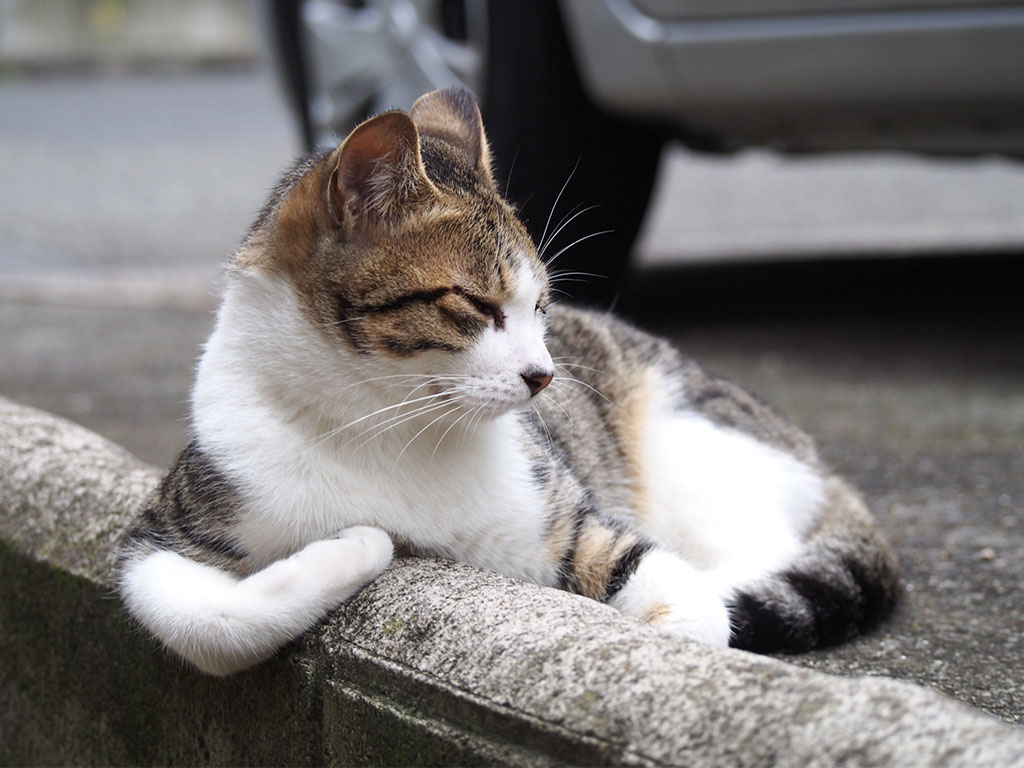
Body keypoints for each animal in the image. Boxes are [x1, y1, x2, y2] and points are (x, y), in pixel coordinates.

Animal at [114, 85, 897, 679]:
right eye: (479, 304)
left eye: (541, 307)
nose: (546, 376)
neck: (383, 426)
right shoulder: (164, 533)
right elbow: (207, 621)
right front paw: (360, 544)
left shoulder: (572, 522)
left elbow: (683, 605)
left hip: (696, 459)